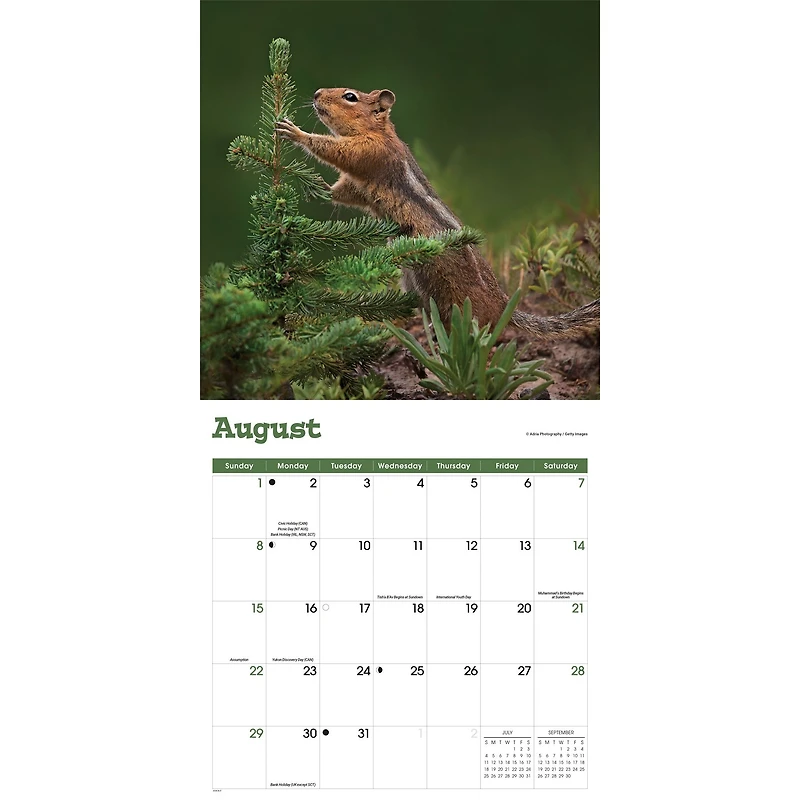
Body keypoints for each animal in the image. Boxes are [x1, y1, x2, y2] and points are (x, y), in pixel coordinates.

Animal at [276, 87, 599, 337]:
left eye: (350, 96)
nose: (316, 93)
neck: (378, 130)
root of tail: (503, 304)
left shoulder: (367, 153)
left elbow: (334, 150)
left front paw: (295, 132)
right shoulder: (358, 185)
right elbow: (343, 193)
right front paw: (316, 187)